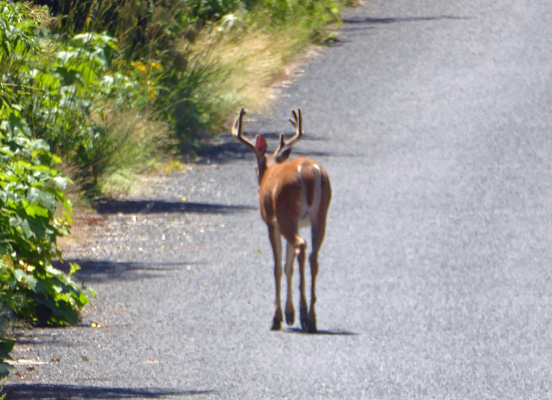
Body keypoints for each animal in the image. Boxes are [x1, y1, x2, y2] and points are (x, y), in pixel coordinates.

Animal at [231, 108, 330, 332]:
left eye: (255, 167)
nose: (257, 180)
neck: (271, 169)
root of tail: (310, 172)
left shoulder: (270, 222)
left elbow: (277, 266)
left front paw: (278, 317)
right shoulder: (297, 224)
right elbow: (288, 266)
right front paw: (289, 314)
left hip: (286, 214)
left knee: (301, 247)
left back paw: (304, 315)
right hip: (320, 214)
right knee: (312, 256)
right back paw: (312, 317)